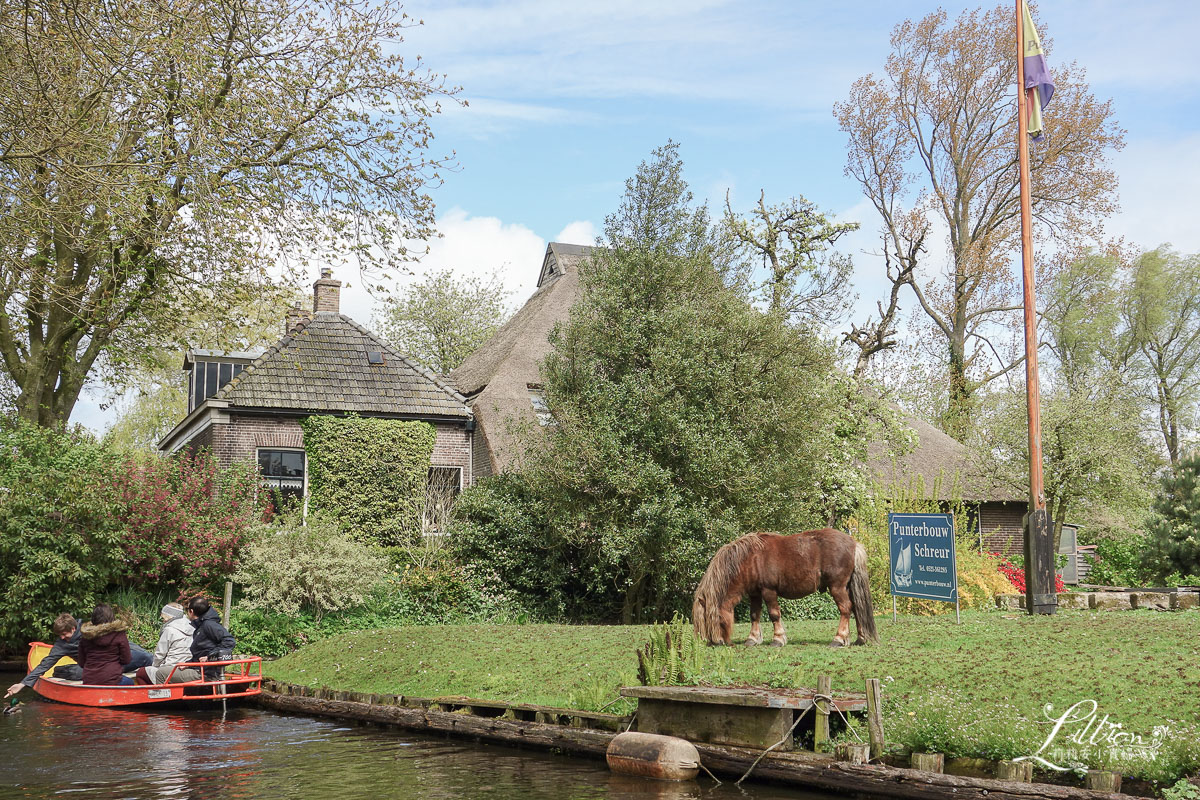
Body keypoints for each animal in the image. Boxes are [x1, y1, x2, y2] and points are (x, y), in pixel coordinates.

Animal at [691, 525, 878, 652]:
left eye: (716, 618)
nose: (715, 642)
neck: (750, 558)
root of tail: (854, 543)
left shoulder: (768, 591)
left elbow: (774, 614)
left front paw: (778, 639)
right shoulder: (755, 594)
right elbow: (754, 615)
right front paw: (752, 639)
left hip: (837, 587)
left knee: (846, 609)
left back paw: (839, 639)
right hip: (848, 587)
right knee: (857, 608)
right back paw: (860, 639)